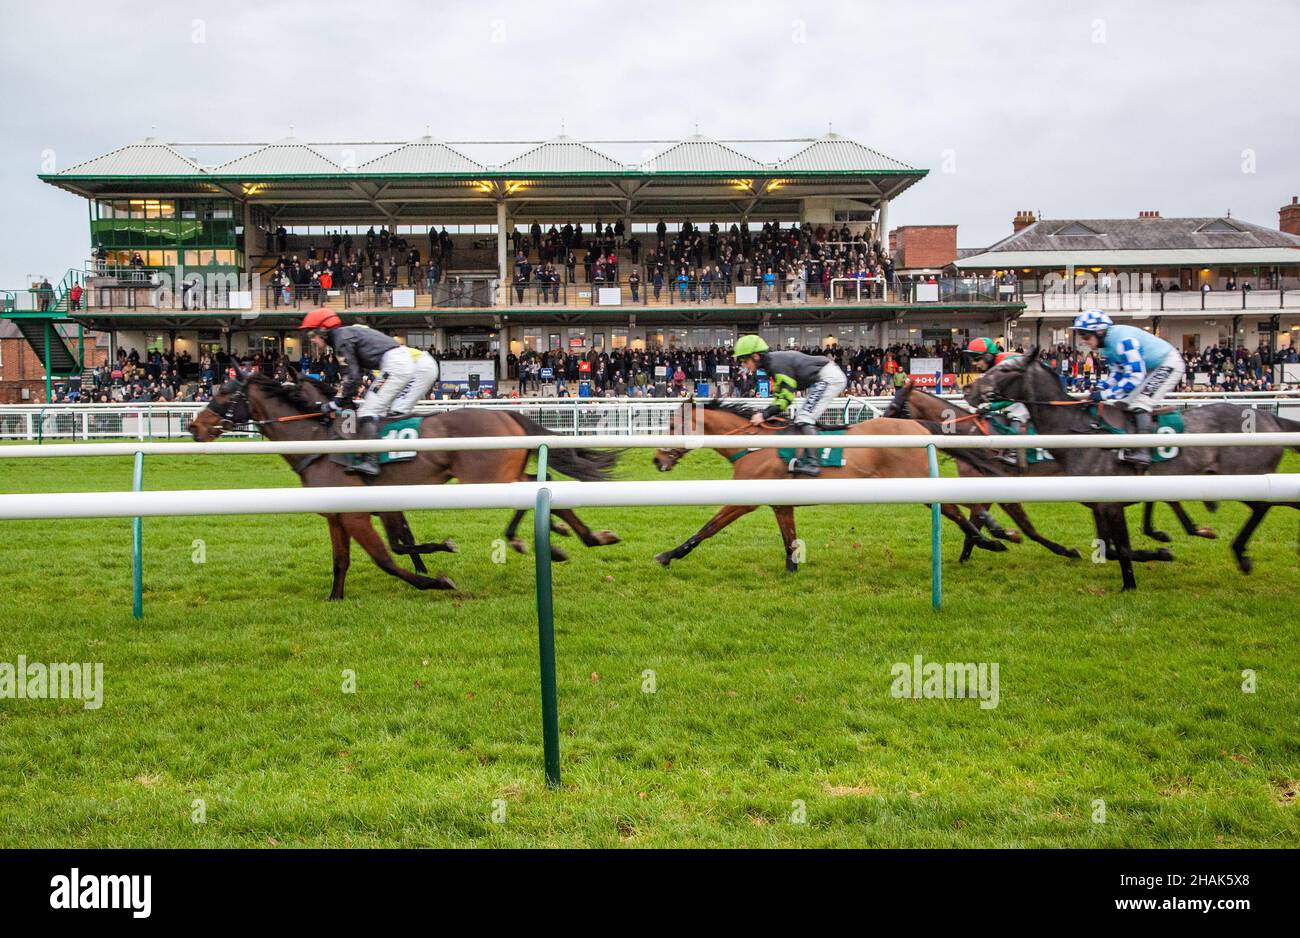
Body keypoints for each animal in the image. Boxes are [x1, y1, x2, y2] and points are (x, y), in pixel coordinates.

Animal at [185, 368, 621, 595]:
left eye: (222, 394)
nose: (193, 427)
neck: (319, 441)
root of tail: (506, 414)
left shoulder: (358, 513)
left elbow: (387, 558)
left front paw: (436, 580)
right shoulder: (342, 513)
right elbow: (346, 559)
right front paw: (335, 597)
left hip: (485, 477)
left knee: (531, 490)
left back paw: (528, 538)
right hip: (498, 473)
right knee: (542, 483)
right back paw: (584, 537)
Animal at [650, 397, 1003, 569]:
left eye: (672, 426)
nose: (656, 460)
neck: (753, 445)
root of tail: (918, 426)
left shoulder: (745, 499)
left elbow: (707, 529)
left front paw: (668, 555)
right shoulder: (781, 503)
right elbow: (789, 540)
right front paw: (792, 569)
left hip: (916, 480)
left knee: (952, 510)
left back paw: (988, 542)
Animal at [967, 348, 1300, 587]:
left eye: (1006, 369)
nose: (971, 391)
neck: (1080, 430)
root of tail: (1270, 418)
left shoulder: (1111, 503)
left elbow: (1122, 548)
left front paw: (1143, 570)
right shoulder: (1099, 504)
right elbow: (1112, 548)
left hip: (1247, 478)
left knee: (1262, 506)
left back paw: (1240, 553)